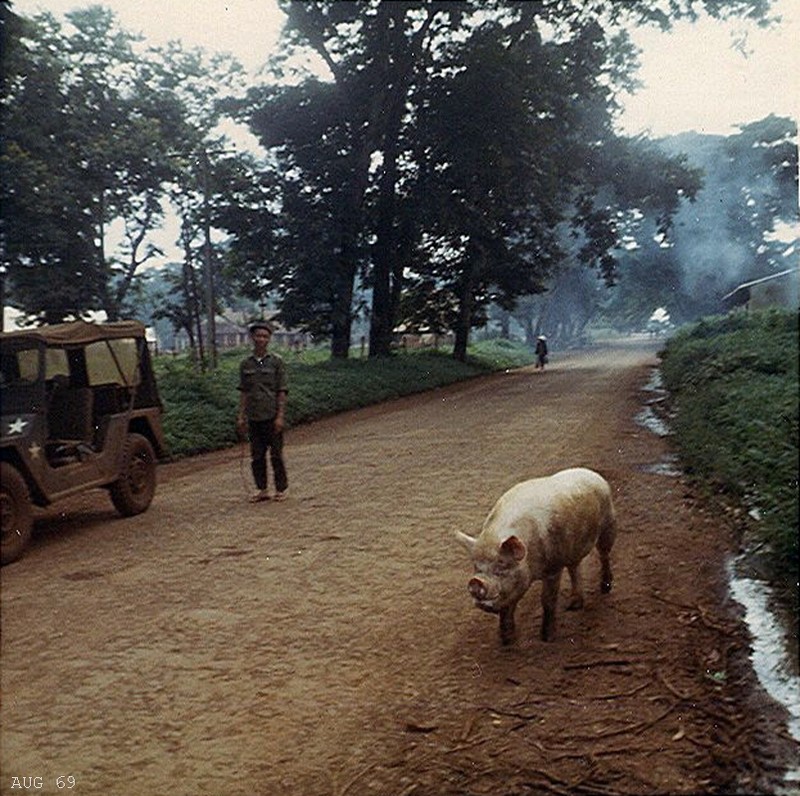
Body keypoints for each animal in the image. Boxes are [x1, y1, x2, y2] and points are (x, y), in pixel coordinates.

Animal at [454, 470, 616, 644]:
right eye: (476, 567)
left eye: (501, 567)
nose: (475, 582)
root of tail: (593, 474)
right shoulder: (512, 587)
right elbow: (508, 607)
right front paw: (507, 642)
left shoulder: (554, 567)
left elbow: (547, 600)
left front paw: (547, 638)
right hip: (573, 548)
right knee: (574, 567)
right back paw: (574, 606)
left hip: (609, 523)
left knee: (604, 554)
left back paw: (605, 588)